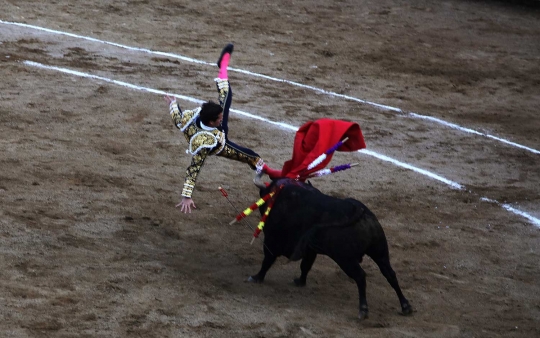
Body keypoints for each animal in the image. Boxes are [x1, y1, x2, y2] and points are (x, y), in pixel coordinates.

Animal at [249, 178, 414, 320]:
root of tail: (361, 212)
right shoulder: (311, 249)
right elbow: (305, 266)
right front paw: (300, 281)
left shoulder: (272, 241)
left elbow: (267, 261)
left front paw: (256, 277)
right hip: (379, 251)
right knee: (390, 274)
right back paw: (405, 306)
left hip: (345, 259)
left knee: (360, 276)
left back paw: (363, 310)